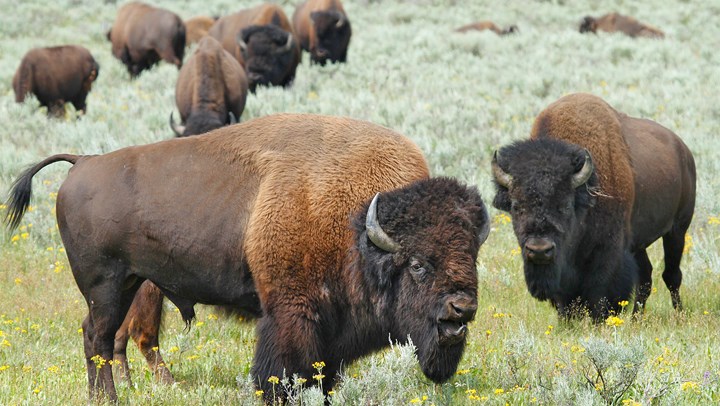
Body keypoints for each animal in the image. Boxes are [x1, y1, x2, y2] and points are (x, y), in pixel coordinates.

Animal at [4, 112, 490, 402]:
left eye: (471, 254)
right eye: (418, 264)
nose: (462, 308)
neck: (357, 227)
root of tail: (83, 161)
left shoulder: (330, 335)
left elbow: (322, 377)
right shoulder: (291, 314)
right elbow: (279, 374)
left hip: (127, 284)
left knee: (103, 337)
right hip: (105, 285)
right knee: (98, 337)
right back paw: (107, 398)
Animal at [492, 93, 696, 322]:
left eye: (565, 206)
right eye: (516, 207)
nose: (539, 249)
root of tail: (684, 151)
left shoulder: (608, 251)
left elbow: (601, 293)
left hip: (678, 230)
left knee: (671, 275)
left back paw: (679, 315)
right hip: (639, 243)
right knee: (646, 275)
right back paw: (636, 319)